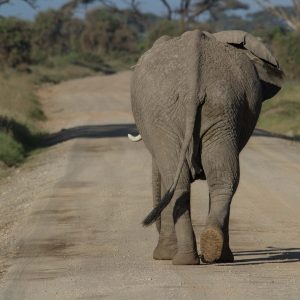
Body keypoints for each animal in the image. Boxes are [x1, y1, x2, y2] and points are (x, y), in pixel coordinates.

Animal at [129, 30, 284, 264]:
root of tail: (195, 75)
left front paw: (162, 256)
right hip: (223, 106)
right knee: (222, 177)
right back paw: (215, 251)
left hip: (167, 115)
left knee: (178, 180)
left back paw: (181, 259)